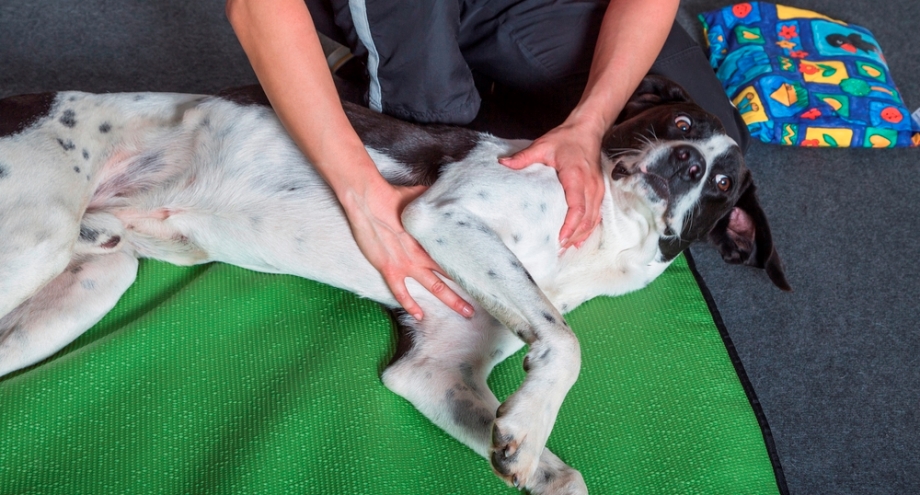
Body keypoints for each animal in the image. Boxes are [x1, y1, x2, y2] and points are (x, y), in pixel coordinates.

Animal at [1, 75, 792, 494]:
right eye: (679, 118)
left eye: (724, 185)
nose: (690, 161)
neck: (596, 241)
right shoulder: (443, 217)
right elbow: (564, 340)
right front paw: (535, 416)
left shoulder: (430, 369)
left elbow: (562, 476)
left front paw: (521, 444)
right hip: (34, 236)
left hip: (93, 279)